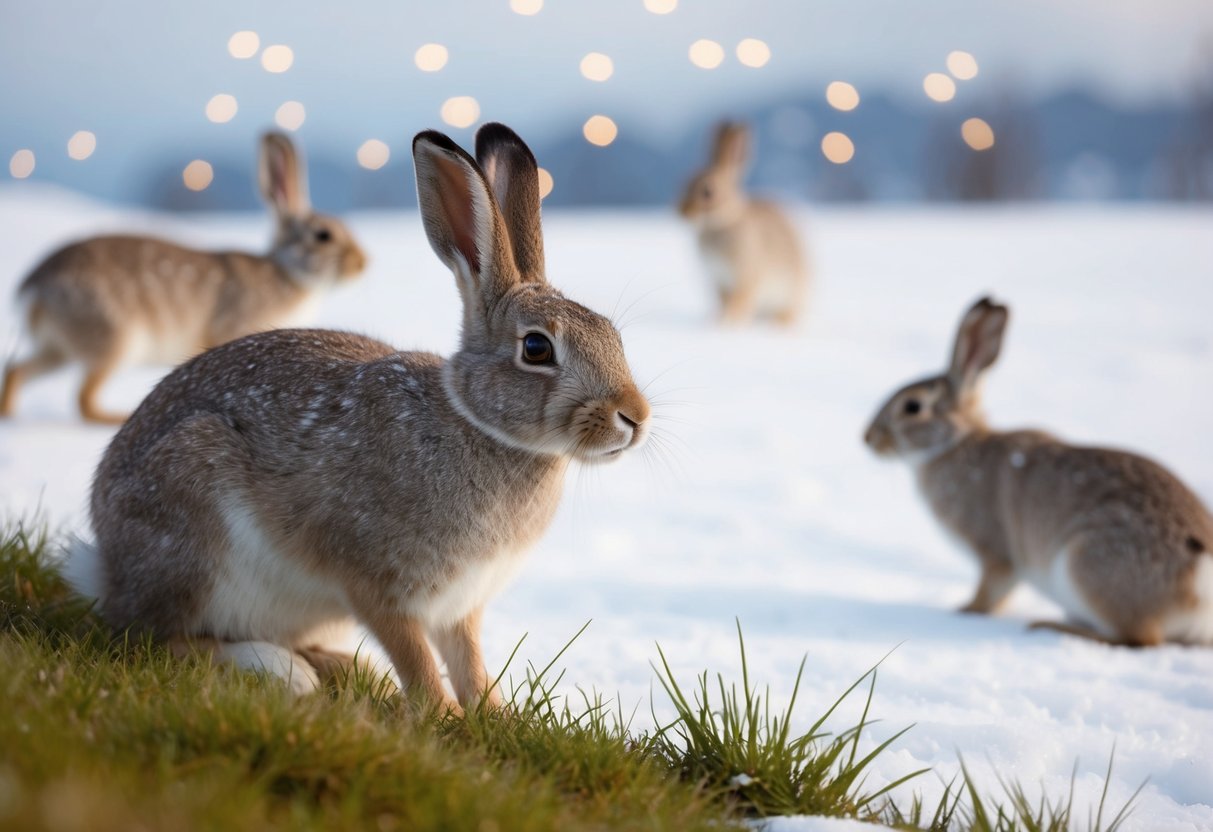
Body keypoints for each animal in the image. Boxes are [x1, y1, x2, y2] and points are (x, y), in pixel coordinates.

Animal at [1, 132, 366, 424]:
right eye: (323, 235)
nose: (363, 263)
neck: (287, 272)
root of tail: (34, 288)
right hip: (114, 339)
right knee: (83, 400)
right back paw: (113, 417)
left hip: (58, 349)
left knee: (18, 371)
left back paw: (10, 413)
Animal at [63, 123, 652, 710]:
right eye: (536, 348)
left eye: (613, 336)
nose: (635, 417)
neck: (478, 424)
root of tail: (106, 564)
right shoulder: (375, 584)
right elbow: (416, 658)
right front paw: (443, 717)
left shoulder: (461, 605)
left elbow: (469, 662)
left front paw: (493, 714)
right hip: (193, 529)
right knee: (157, 637)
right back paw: (281, 669)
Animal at [679, 121, 809, 327]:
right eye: (684, 183)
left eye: (708, 191)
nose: (681, 212)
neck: (722, 223)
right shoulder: (718, 280)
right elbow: (723, 301)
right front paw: (717, 320)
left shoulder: (747, 277)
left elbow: (740, 301)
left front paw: (728, 323)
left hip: (792, 291)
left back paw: (781, 323)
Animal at [864, 297, 1213, 647]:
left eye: (912, 407)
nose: (868, 438)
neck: (954, 443)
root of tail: (1202, 575)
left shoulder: (995, 551)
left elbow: (992, 590)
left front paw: (965, 611)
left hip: (1090, 564)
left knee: (1138, 638)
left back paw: (1050, 627)